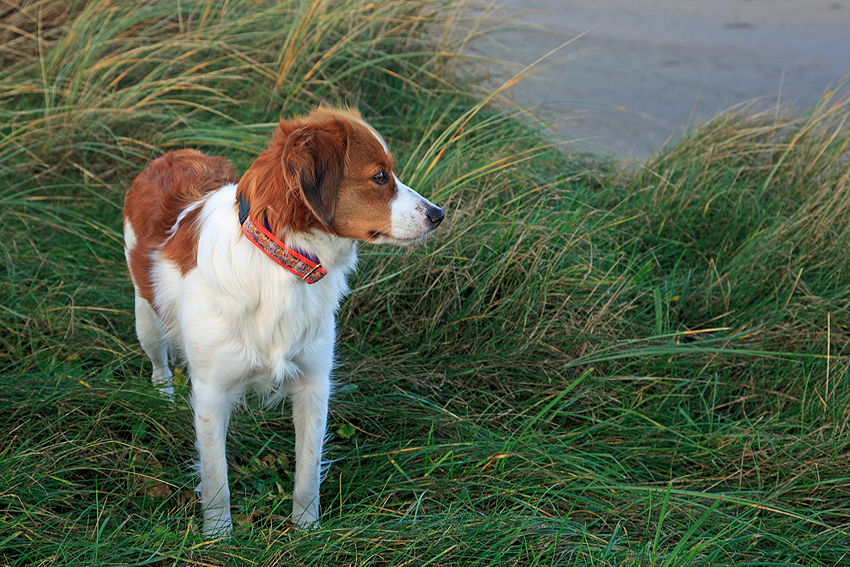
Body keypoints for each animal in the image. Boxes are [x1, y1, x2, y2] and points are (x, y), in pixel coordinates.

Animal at [126, 106, 448, 536]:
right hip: (146, 319)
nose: (439, 215)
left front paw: (307, 529)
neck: (284, 262)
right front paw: (217, 535)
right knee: (159, 362)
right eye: (380, 176)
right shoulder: (211, 392)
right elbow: (216, 477)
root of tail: (173, 155)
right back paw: (163, 397)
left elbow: (308, 468)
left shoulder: (314, 382)